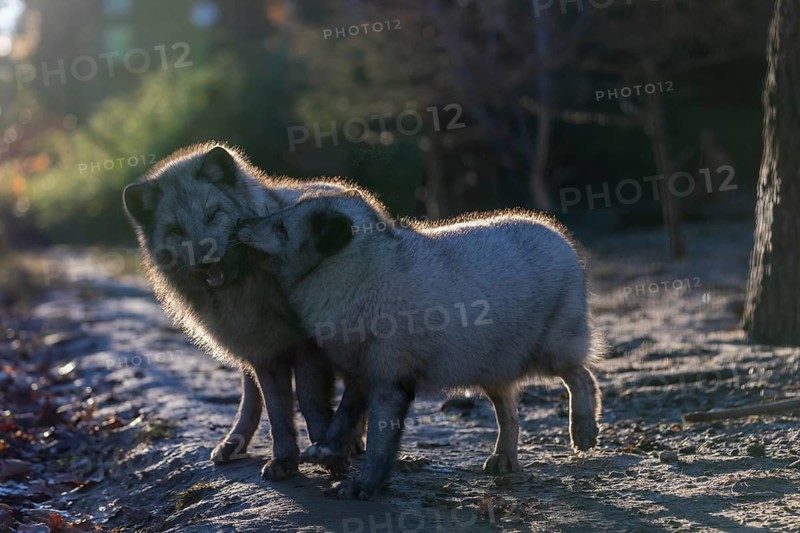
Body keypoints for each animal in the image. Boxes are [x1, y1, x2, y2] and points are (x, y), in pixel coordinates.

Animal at [122, 143, 361, 481]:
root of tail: (335, 184)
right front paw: (284, 459)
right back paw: (234, 442)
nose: (206, 260)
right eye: (175, 230)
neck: (246, 284)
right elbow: (276, 412)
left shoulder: (305, 347)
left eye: (212, 214)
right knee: (251, 397)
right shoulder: (264, 352)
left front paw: (329, 455)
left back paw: (354, 441)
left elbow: (310, 402)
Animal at [236, 189, 604, 500]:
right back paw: (504, 458)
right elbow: (343, 418)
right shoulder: (360, 375)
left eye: (281, 227)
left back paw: (583, 429)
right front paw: (327, 450)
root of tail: (557, 233)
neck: (365, 276)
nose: (241, 224)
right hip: (491, 366)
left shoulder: (389, 381)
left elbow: (379, 444)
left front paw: (364, 485)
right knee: (509, 413)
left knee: (582, 376)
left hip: (550, 352)